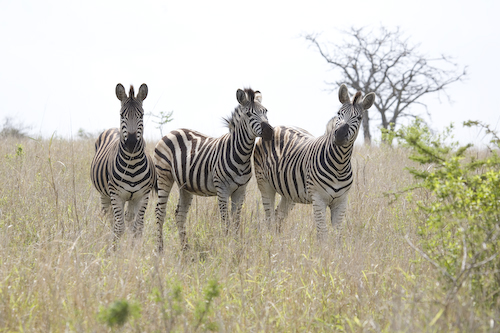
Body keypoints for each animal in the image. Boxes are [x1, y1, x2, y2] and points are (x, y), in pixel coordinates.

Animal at [90, 83, 156, 246]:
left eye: (141, 115)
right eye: (121, 115)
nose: (131, 144)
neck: (131, 164)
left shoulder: (142, 196)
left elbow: (138, 228)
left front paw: (134, 250)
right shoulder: (116, 195)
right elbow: (119, 227)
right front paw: (114, 249)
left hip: (131, 198)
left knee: (129, 219)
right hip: (105, 195)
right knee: (109, 217)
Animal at [154, 87, 274, 250]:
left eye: (265, 111)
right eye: (249, 114)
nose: (269, 131)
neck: (241, 155)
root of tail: (172, 131)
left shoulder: (240, 191)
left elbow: (236, 222)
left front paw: (236, 246)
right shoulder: (222, 190)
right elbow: (226, 222)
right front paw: (227, 247)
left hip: (185, 185)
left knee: (180, 214)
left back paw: (185, 249)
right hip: (164, 176)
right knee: (160, 212)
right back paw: (160, 249)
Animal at [254, 83, 376, 239]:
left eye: (359, 117)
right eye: (339, 113)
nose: (340, 135)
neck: (340, 164)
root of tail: (278, 127)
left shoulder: (341, 202)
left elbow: (337, 234)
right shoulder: (318, 199)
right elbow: (323, 233)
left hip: (289, 192)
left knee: (278, 216)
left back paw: (278, 240)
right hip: (265, 184)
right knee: (269, 218)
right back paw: (271, 239)